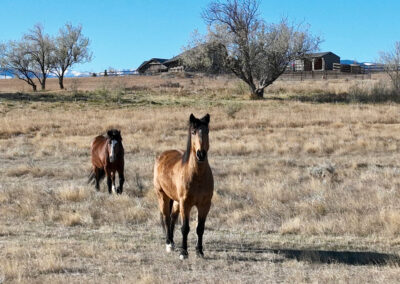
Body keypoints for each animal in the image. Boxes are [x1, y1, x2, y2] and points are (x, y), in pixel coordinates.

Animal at [153, 113, 214, 260]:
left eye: (207, 131)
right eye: (193, 132)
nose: (201, 154)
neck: (197, 175)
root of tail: (161, 156)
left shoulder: (205, 205)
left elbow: (200, 228)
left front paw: (199, 251)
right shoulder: (185, 204)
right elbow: (185, 228)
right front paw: (183, 252)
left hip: (175, 201)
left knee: (172, 218)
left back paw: (173, 242)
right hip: (162, 196)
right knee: (166, 217)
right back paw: (169, 244)